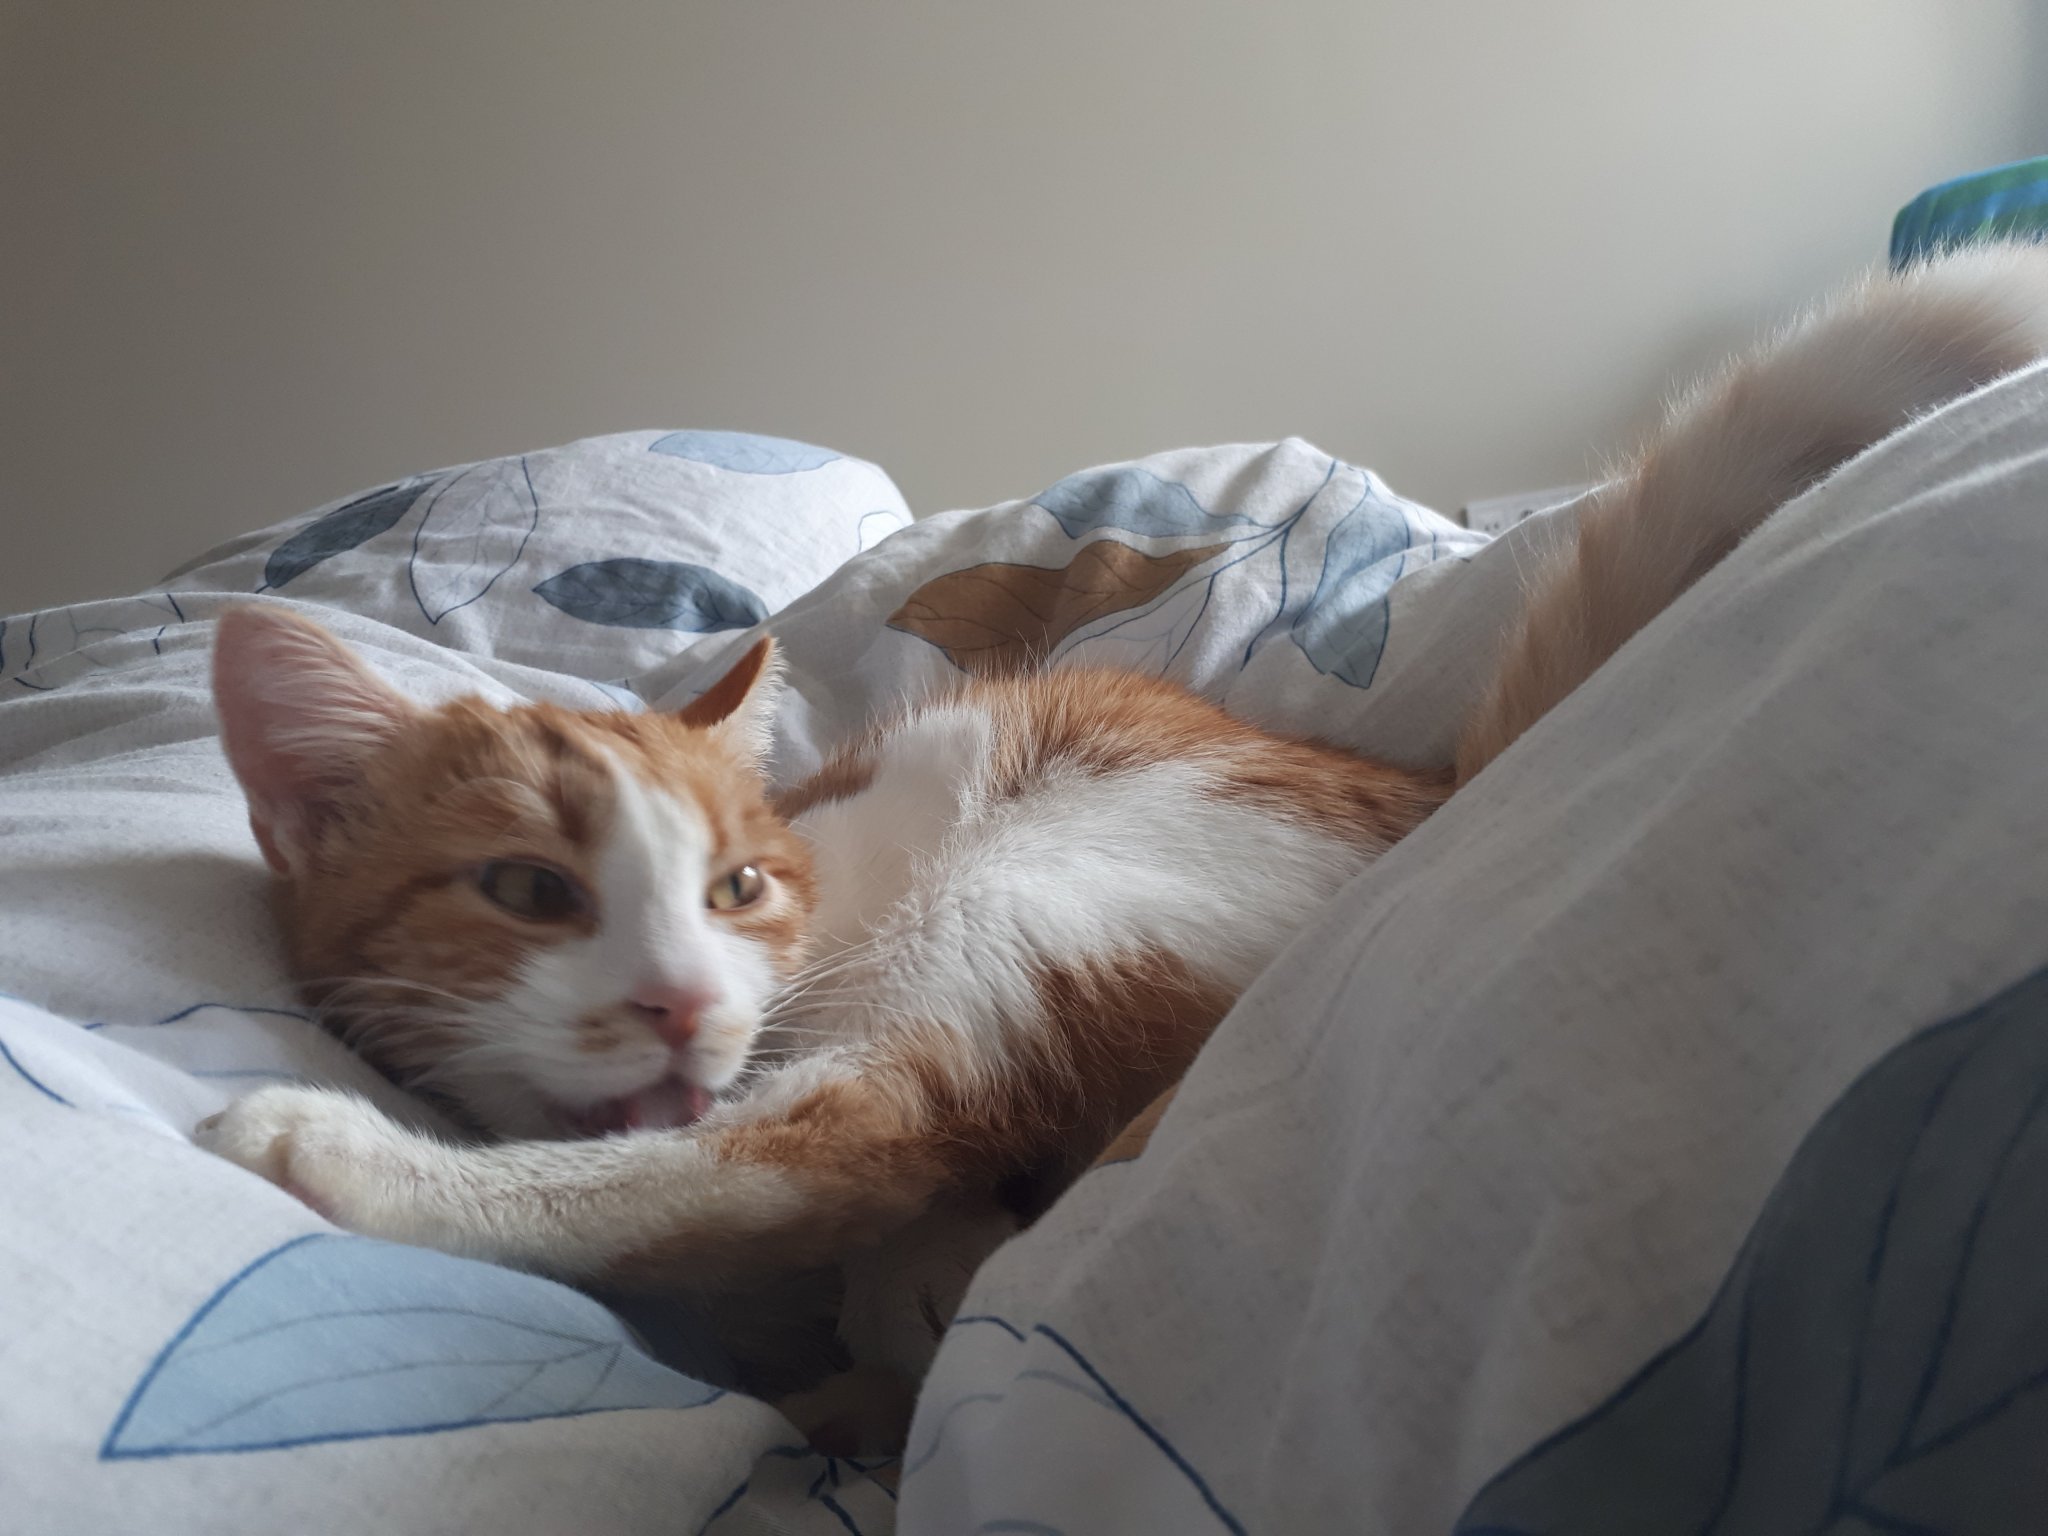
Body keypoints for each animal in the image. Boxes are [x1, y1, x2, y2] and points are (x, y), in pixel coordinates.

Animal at [197, 246, 2048, 1450]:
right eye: (531, 890)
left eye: (736, 887)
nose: (678, 1003)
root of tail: (1436, 786)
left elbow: (753, 1163)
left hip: (1046, 872)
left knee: (836, 1148)